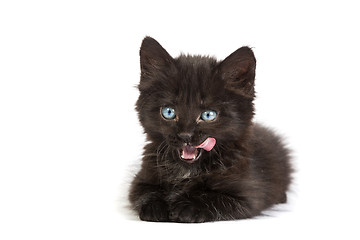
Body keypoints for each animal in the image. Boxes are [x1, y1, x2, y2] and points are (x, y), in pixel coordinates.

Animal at [128, 36, 292, 222]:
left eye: (208, 115)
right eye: (169, 112)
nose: (185, 135)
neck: (187, 170)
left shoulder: (248, 196)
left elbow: (215, 198)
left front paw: (187, 206)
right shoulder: (141, 179)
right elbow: (144, 192)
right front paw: (156, 207)